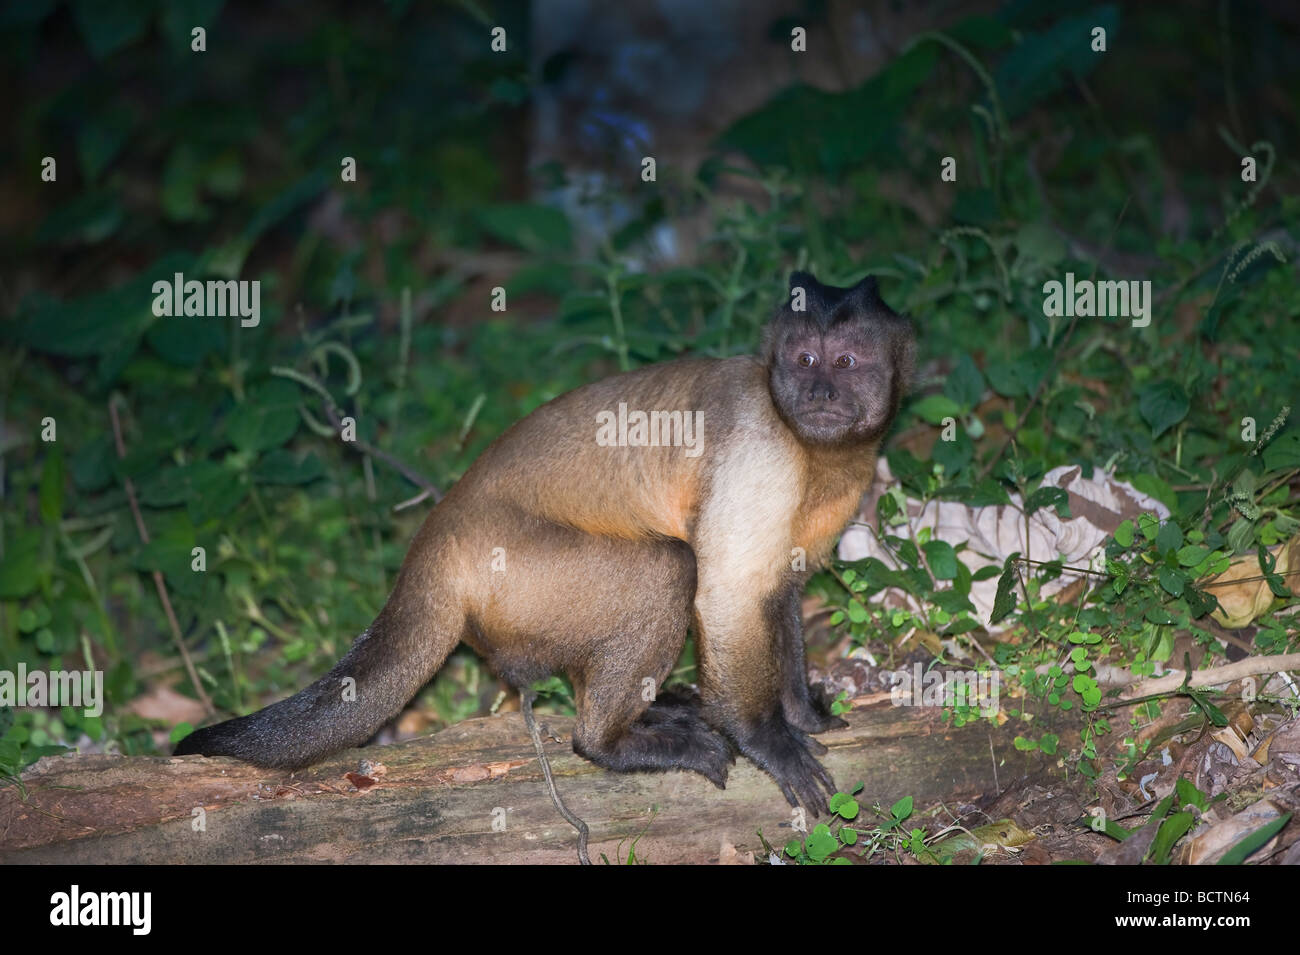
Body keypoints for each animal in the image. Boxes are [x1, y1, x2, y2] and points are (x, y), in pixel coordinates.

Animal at [175, 268, 915, 815]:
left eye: (846, 362)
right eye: (805, 360)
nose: (818, 391)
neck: (811, 447)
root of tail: (438, 532)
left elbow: (781, 591)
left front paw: (801, 713)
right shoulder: (762, 446)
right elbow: (731, 591)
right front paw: (768, 738)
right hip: (520, 569)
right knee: (670, 567)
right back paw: (610, 742)